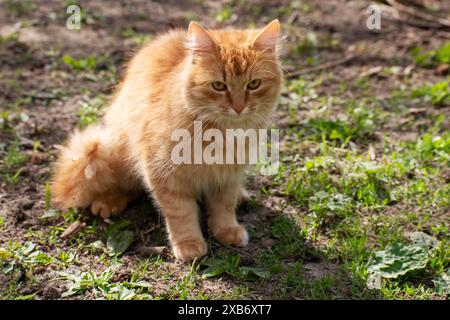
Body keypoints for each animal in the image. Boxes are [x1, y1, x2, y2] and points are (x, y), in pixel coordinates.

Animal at [51, 19, 284, 260]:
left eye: (254, 84)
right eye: (219, 86)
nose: (238, 107)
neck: (222, 134)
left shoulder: (227, 176)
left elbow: (223, 207)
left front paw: (226, 230)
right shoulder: (165, 176)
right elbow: (182, 214)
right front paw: (189, 244)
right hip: (112, 152)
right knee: (119, 184)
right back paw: (108, 202)